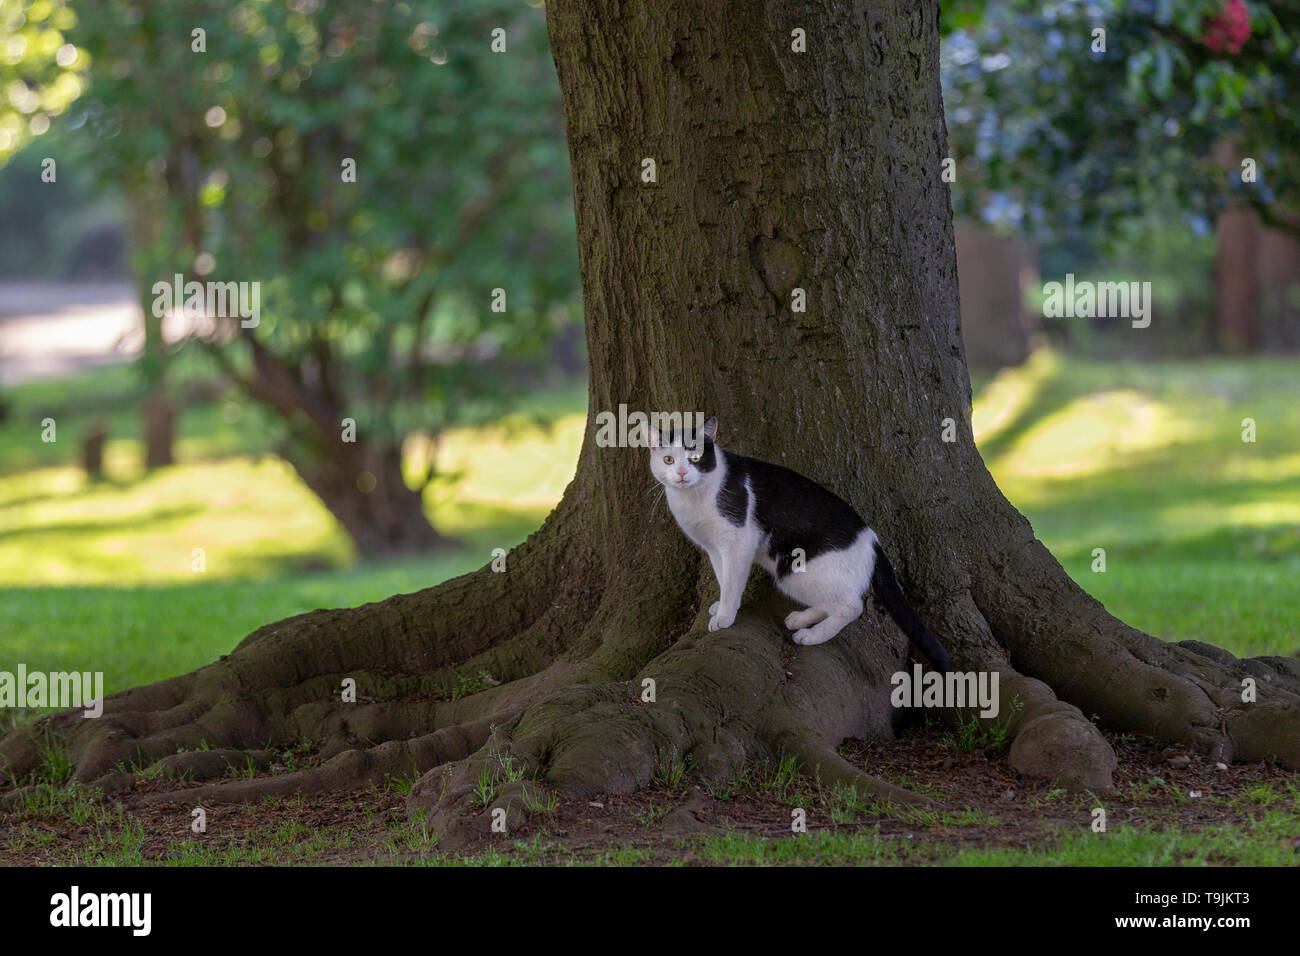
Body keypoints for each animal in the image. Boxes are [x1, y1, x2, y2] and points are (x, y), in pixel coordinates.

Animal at [644, 416, 951, 671]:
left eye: (695, 458)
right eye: (669, 460)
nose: (682, 473)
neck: (694, 497)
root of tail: (873, 539)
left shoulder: (737, 542)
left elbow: (732, 580)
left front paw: (725, 616)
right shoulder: (714, 548)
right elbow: (723, 577)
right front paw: (721, 605)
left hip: (795, 571)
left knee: (851, 606)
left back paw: (811, 634)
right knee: (833, 602)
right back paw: (800, 619)